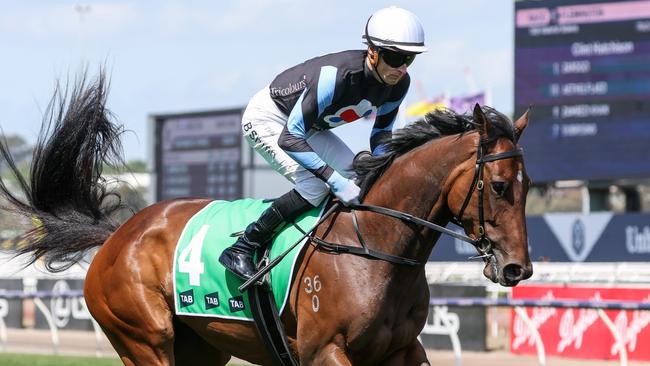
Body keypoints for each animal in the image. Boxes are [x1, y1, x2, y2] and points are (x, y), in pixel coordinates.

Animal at [1, 72, 532, 366]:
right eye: (499, 186)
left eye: (529, 187)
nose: (517, 268)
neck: (375, 246)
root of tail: (118, 235)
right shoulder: (324, 351)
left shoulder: (403, 351)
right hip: (145, 341)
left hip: (202, 348)